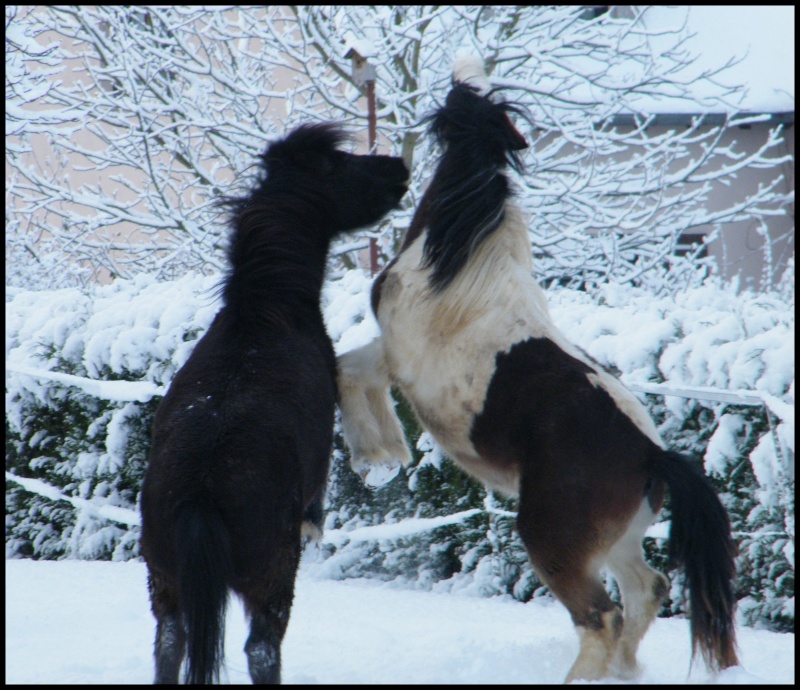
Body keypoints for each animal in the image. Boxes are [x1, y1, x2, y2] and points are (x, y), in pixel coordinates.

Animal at [139, 125, 406, 684]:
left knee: (170, 642)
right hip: (271, 580)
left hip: (163, 581)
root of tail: (200, 490)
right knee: (261, 648)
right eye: (339, 164)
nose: (398, 168)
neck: (264, 311)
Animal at [336, 56, 736, 680]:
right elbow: (347, 369)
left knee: (602, 617)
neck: (463, 269)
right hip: (616, 543)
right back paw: (627, 670)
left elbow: (343, 369)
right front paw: (381, 456)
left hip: (551, 539)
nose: (462, 67)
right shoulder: (393, 355)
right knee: (647, 590)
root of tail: (653, 456)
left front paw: (375, 457)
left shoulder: (399, 355)